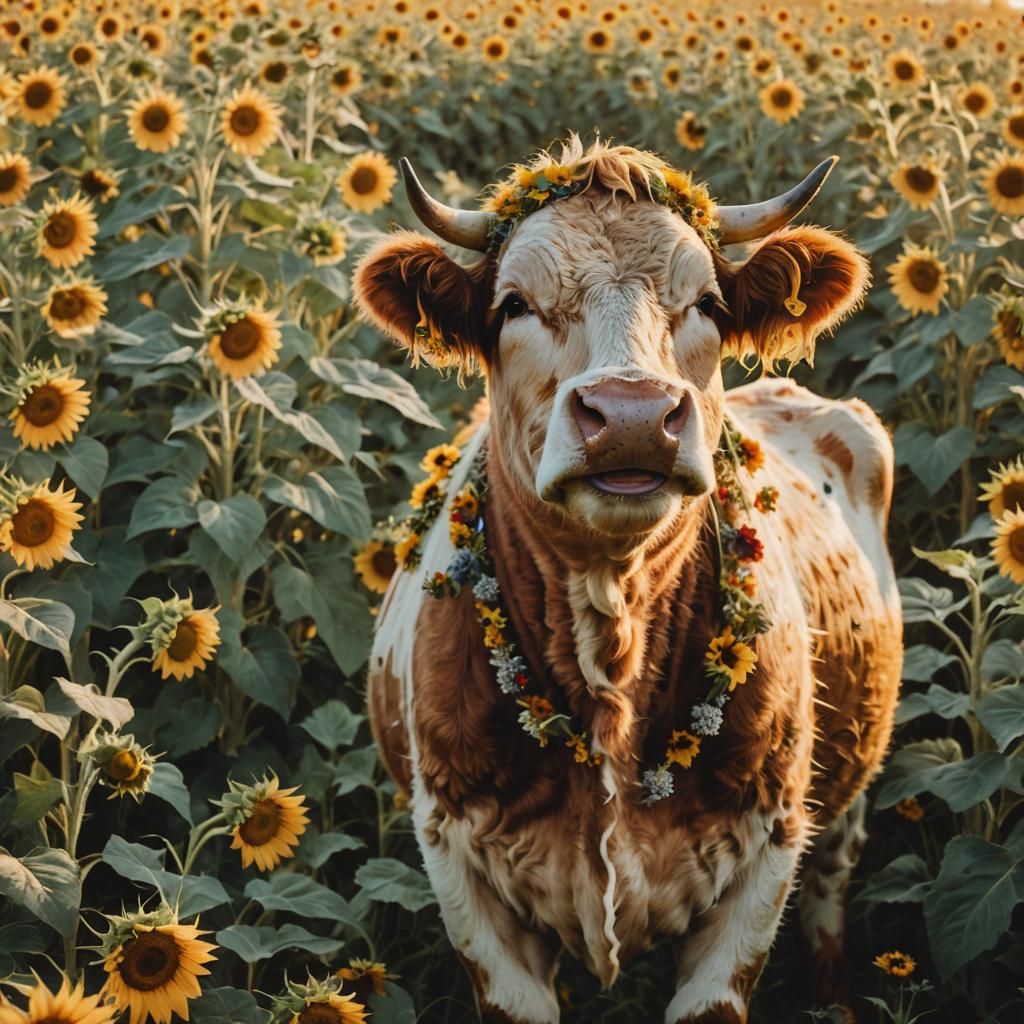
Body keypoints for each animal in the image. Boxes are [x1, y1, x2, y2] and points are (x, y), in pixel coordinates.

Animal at [353, 137, 902, 1024]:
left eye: (708, 302)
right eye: (513, 304)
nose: (634, 415)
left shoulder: (768, 849)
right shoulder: (457, 862)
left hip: (846, 792)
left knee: (830, 894)